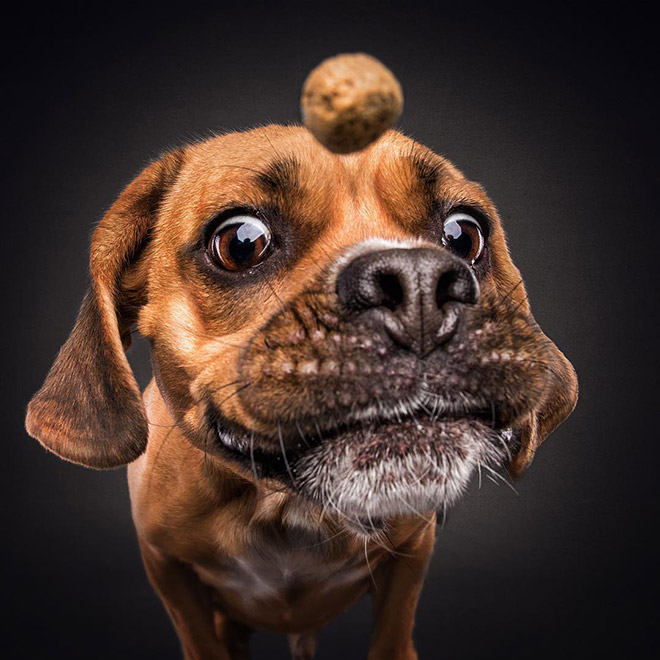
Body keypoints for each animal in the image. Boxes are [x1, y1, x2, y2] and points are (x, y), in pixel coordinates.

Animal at [24, 125, 576, 660]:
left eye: (465, 234)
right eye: (240, 242)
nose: (418, 281)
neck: (288, 511)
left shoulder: (412, 554)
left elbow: (392, 634)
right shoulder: (167, 567)